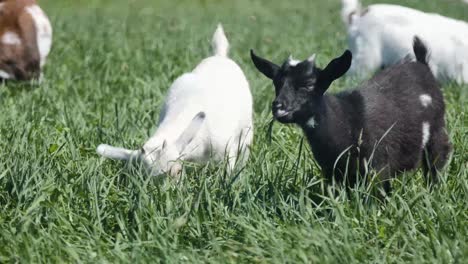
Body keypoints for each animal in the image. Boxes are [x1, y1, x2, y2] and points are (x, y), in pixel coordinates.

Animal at [96, 24, 254, 177]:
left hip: (246, 128)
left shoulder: (226, 146)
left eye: (177, 171)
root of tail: (219, 55)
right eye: (144, 179)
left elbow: (229, 164)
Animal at [250, 37, 452, 192]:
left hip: (436, 134)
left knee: (436, 165)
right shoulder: (334, 172)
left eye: (308, 84)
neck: (345, 120)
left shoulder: (378, 167)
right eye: (276, 83)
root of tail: (422, 64)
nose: (278, 106)